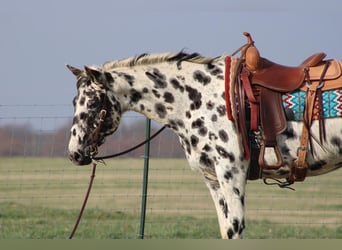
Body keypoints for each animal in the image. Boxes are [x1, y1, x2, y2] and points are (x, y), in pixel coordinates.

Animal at [67, 47, 342, 238]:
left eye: (93, 102)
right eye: (74, 102)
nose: (74, 154)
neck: (198, 97)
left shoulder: (231, 174)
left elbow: (235, 229)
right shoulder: (212, 179)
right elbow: (226, 229)